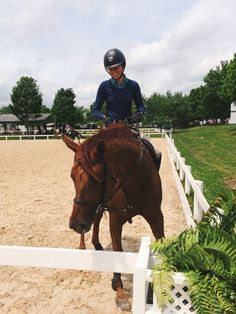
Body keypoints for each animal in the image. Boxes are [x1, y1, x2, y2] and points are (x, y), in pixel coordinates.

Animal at [62, 123, 164, 312]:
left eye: (94, 179)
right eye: (72, 177)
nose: (74, 224)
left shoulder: (156, 215)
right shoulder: (115, 221)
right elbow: (118, 251)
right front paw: (120, 291)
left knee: (95, 218)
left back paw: (96, 243)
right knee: (94, 219)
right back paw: (83, 245)